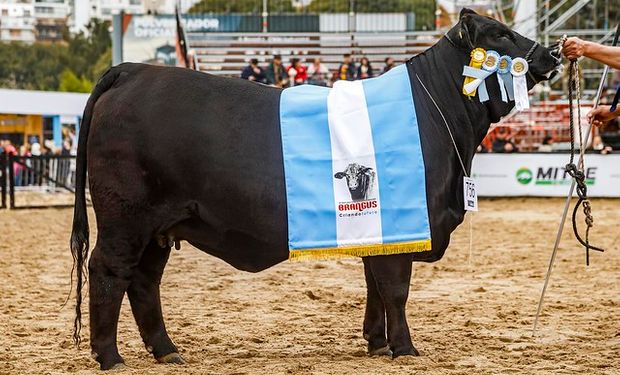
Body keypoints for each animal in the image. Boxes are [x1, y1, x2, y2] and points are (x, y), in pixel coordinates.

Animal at [70, 8, 560, 370]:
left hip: (161, 225)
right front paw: (405, 348)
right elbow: (395, 289)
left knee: (144, 281)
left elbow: (374, 285)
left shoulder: (377, 228)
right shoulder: (403, 224)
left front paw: (377, 342)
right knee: (109, 270)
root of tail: (131, 70)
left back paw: (167, 351)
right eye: (500, 34)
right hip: (127, 217)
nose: (553, 52)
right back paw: (110, 356)